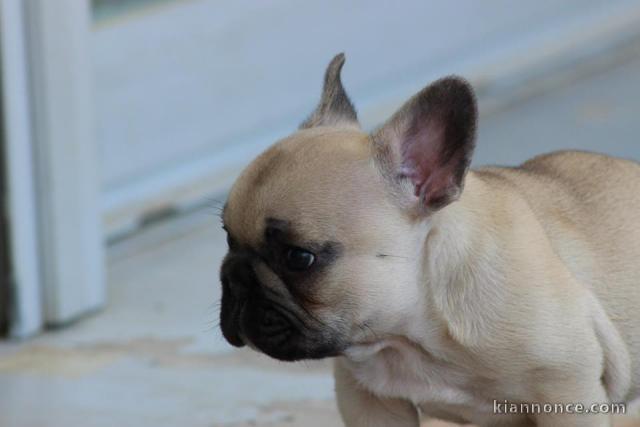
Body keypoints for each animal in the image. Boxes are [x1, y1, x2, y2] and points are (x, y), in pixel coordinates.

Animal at [220, 54, 640, 427]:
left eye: (299, 258)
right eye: (226, 236)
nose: (234, 276)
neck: (414, 331)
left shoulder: (568, 392)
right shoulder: (368, 401)